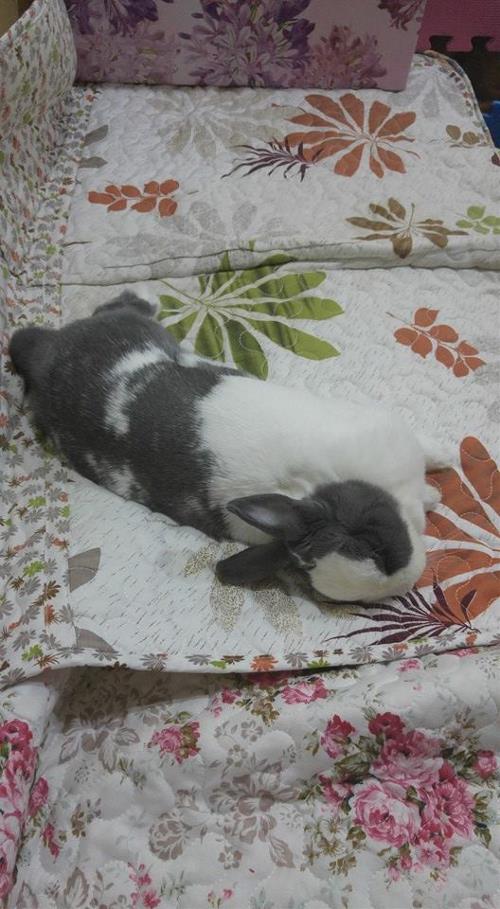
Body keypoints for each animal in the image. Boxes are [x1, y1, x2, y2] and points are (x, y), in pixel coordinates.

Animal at [9, 290, 449, 604]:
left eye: (374, 547)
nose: (410, 575)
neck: (314, 485)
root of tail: (47, 351)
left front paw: (445, 463)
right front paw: (440, 481)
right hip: (130, 326)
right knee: (122, 305)